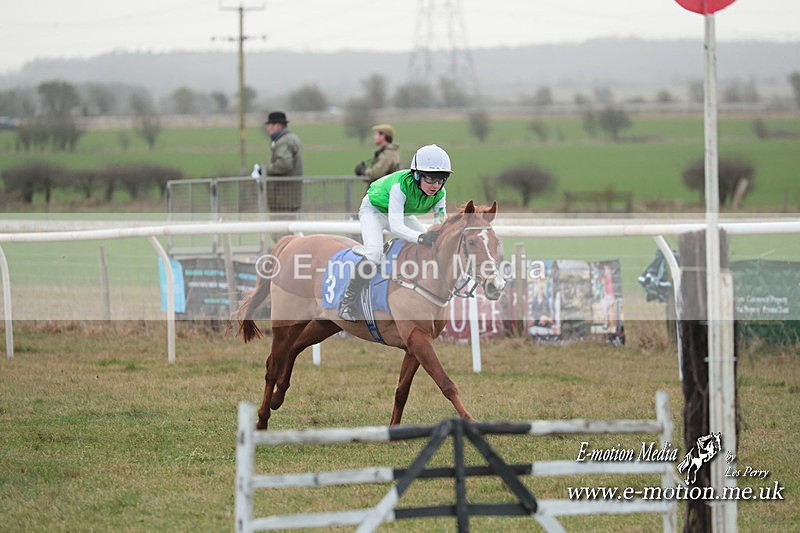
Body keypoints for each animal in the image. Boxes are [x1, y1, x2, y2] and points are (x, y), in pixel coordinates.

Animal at [236, 200, 506, 429]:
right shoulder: (418, 338)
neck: (424, 277)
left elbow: (402, 391)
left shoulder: (415, 344)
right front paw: (471, 422)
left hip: (326, 324)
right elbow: (446, 383)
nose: (497, 286)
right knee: (273, 364)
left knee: (292, 350)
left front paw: (394, 431)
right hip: (287, 320)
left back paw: (277, 397)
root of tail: (291, 242)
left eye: (496, 242)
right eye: (472, 242)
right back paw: (262, 420)